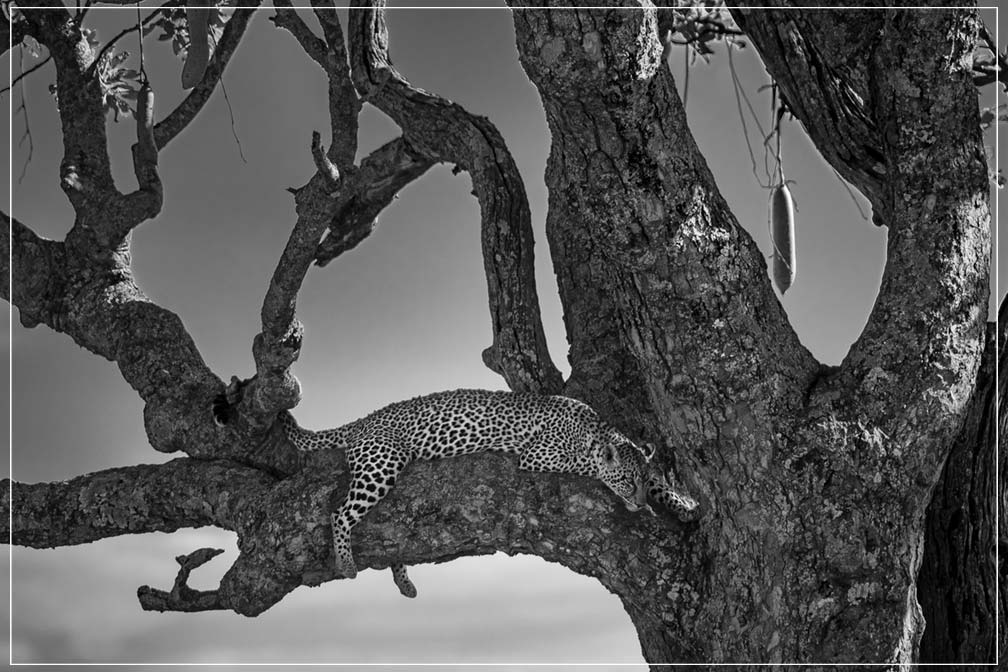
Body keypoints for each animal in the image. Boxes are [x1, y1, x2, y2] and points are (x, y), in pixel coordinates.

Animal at [280, 388, 698, 598]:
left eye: (639, 481)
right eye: (626, 481)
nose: (637, 503)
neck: (593, 429)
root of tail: (362, 421)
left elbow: (659, 479)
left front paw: (681, 503)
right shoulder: (539, 456)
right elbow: (589, 468)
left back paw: (404, 583)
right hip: (382, 464)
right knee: (339, 512)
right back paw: (346, 562)